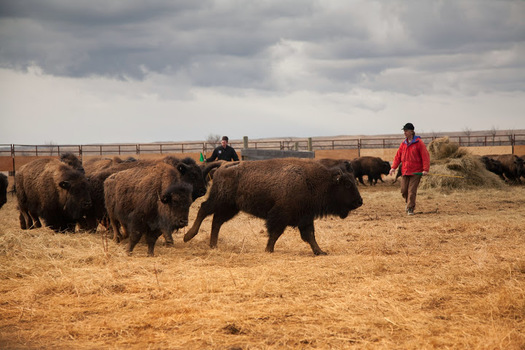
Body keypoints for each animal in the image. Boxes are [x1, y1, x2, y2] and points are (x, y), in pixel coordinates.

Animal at [182, 158, 362, 254]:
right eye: (347, 184)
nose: (359, 201)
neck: (314, 180)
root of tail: (224, 164)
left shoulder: (305, 218)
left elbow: (310, 236)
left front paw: (320, 252)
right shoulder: (281, 215)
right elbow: (275, 233)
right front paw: (269, 249)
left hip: (231, 207)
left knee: (216, 221)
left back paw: (213, 245)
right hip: (220, 200)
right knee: (204, 210)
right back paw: (188, 236)